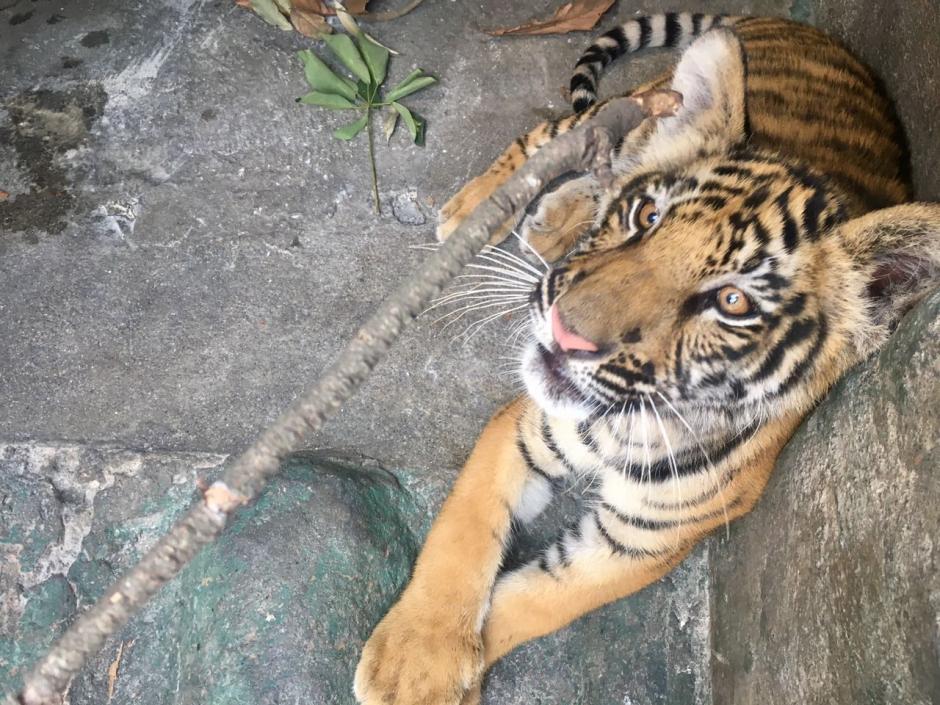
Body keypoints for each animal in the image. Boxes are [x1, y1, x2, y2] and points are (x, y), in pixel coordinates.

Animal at [354, 12, 940, 705]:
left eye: (733, 302)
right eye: (646, 215)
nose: (566, 332)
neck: (621, 423)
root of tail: (799, 26)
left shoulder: (644, 541)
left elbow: (535, 603)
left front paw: (437, 674)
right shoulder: (523, 430)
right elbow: (462, 534)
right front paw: (414, 660)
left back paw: (553, 221)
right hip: (629, 107)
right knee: (548, 139)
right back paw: (478, 211)